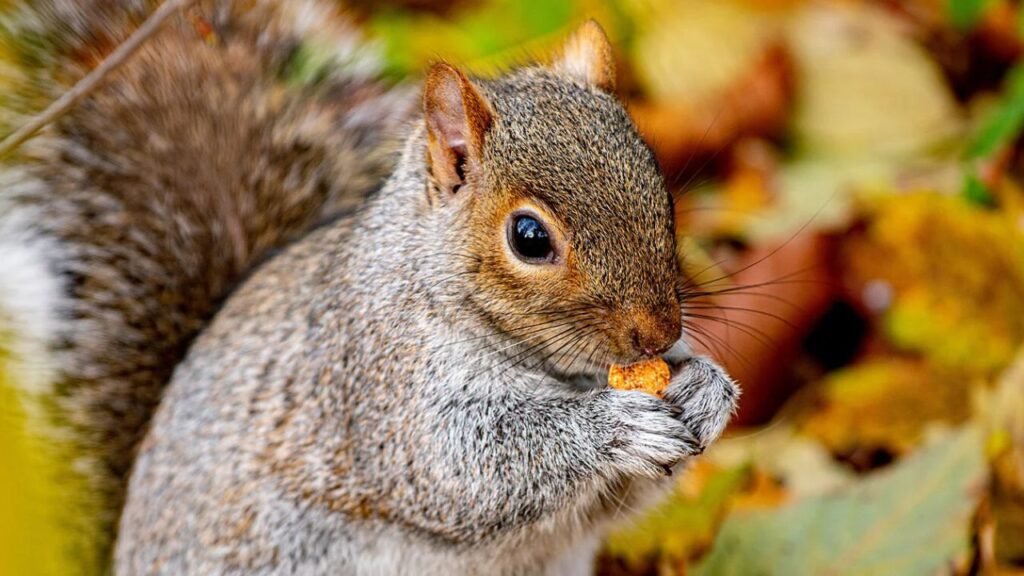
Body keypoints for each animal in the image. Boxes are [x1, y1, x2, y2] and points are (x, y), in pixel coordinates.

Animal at [0, 1, 739, 574]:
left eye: (658, 184)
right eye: (529, 238)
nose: (660, 332)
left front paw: (704, 387)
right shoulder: (379, 388)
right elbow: (465, 469)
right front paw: (614, 424)